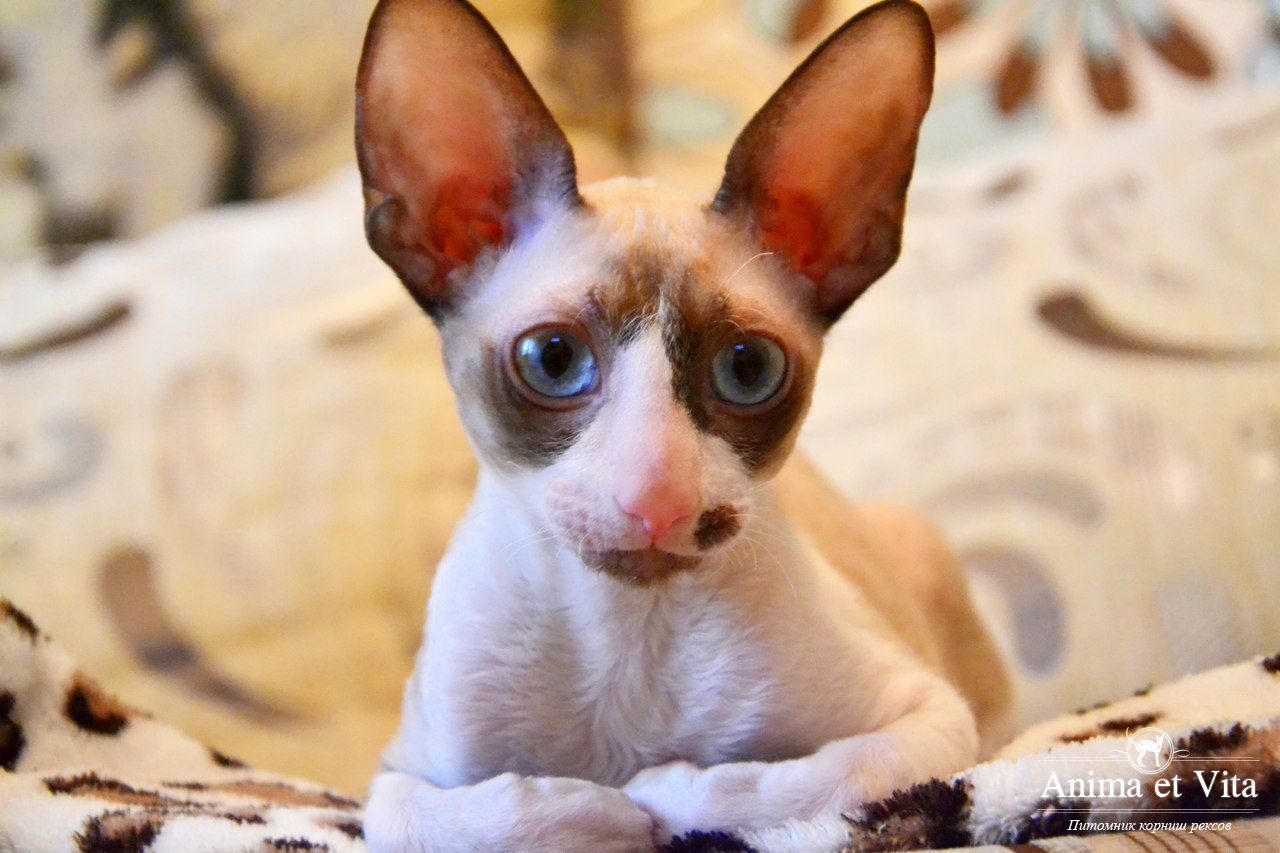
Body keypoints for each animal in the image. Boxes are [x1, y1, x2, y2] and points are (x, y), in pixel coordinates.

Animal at [354, 0, 1014, 848]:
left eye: (748, 369)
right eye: (552, 359)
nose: (656, 497)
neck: (626, 638)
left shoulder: (928, 719)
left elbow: (769, 785)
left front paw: (649, 792)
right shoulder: (399, 776)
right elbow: (477, 813)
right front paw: (596, 808)